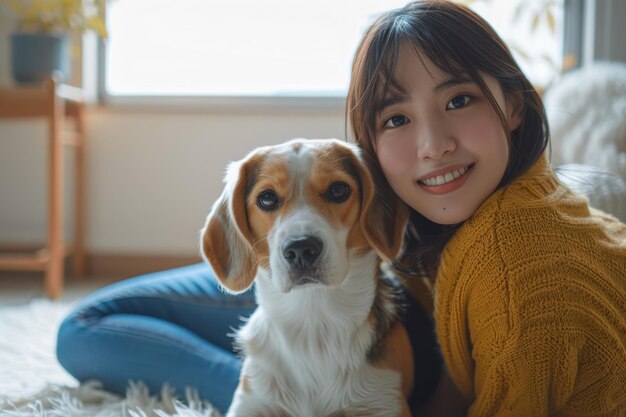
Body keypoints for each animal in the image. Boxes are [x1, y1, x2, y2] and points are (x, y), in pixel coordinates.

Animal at [201, 138, 414, 414]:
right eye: (267, 198)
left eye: (338, 190)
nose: (301, 248)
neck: (313, 326)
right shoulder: (252, 401)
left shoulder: (384, 401)